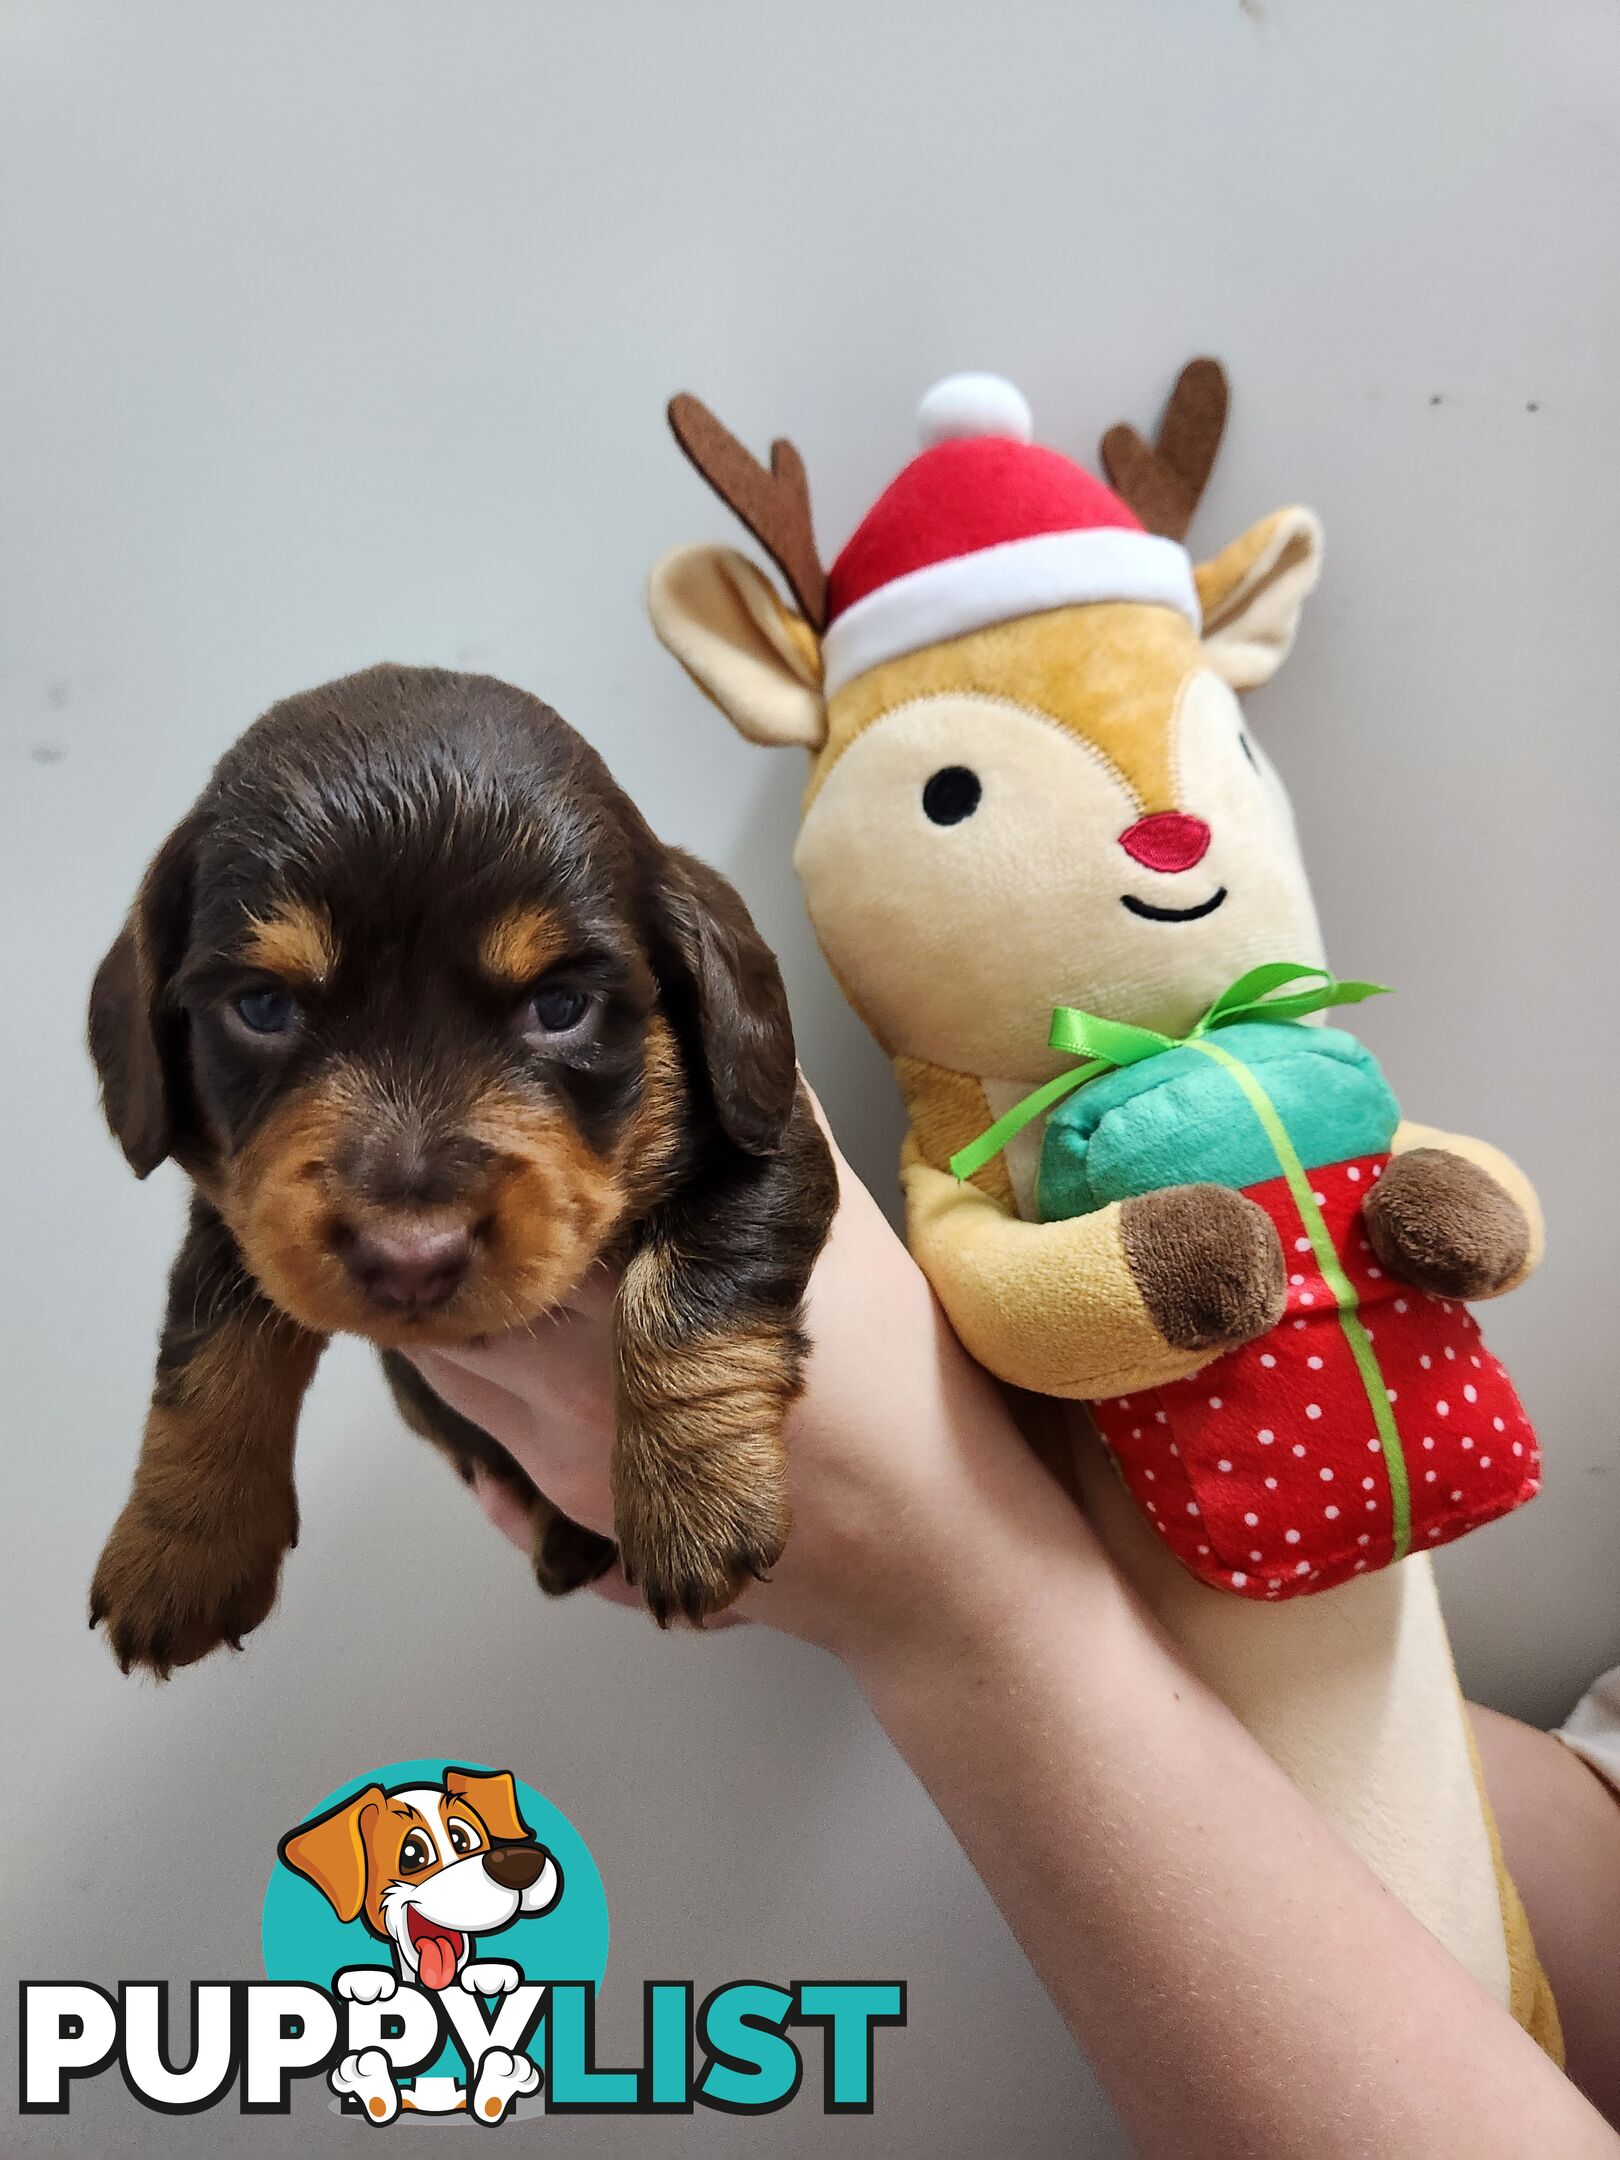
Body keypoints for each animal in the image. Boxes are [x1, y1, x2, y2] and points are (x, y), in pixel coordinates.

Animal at [87, 660, 838, 1667]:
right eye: (262, 1007)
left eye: (560, 1006)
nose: (411, 1261)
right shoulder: (241, 1217)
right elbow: (207, 1356)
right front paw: (176, 1549)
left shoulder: (770, 1131)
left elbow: (693, 1285)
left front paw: (696, 1497)